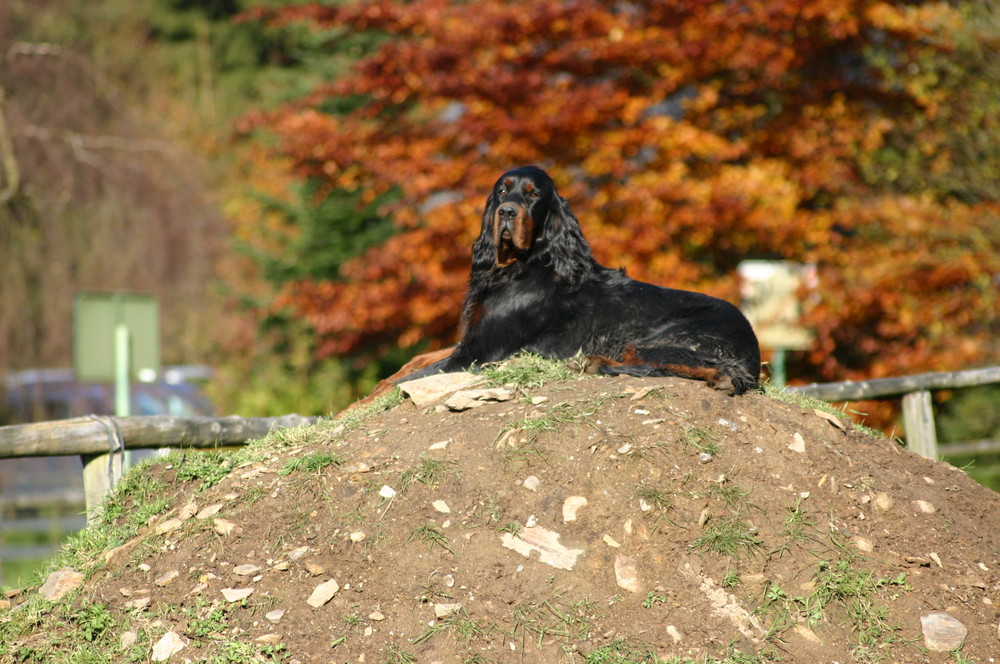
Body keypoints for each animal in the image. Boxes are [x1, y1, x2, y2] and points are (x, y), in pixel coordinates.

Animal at [402, 166, 760, 394]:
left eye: (533, 194)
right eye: (502, 190)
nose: (506, 212)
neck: (525, 264)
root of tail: (753, 347)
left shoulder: (478, 353)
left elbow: (407, 379)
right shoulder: (470, 343)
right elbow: (413, 366)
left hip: (658, 342)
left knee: (712, 371)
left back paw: (592, 364)